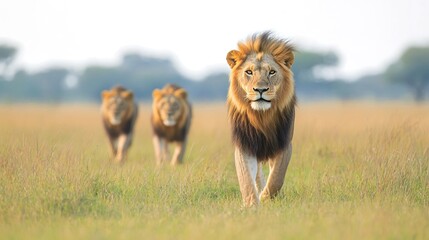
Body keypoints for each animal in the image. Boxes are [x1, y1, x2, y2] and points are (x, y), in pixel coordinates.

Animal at [226, 31, 296, 207]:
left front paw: (265, 197)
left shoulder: (284, 143)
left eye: (272, 72)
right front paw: (252, 204)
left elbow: (277, 177)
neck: (261, 117)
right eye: (249, 72)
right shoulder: (245, 144)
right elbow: (246, 179)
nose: (260, 90)